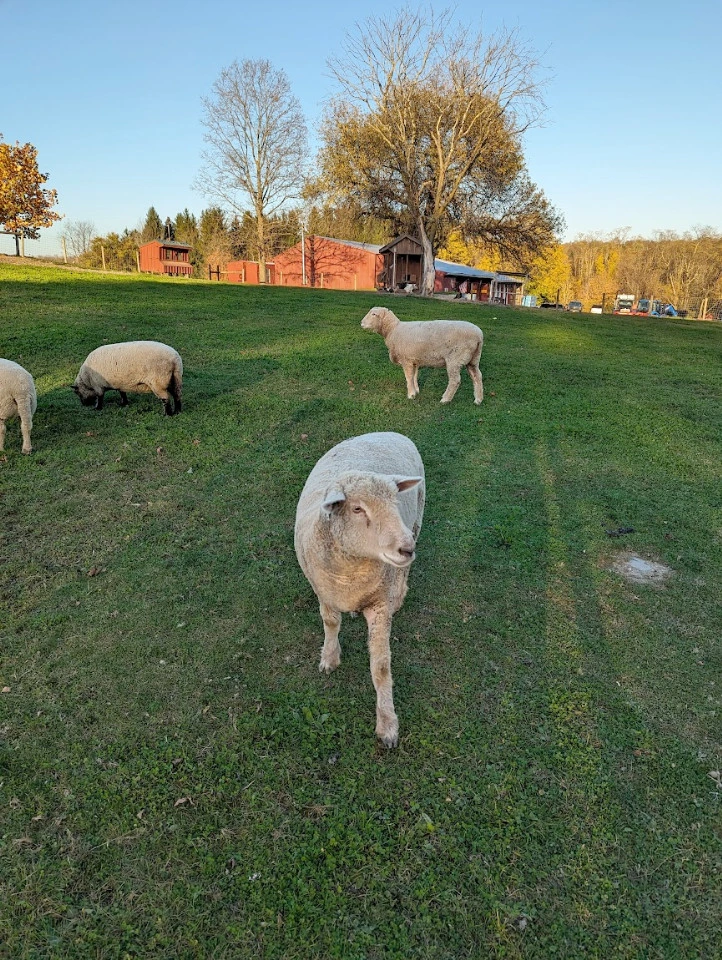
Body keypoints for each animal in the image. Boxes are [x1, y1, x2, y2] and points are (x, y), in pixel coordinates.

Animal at [296, 430, 424, 752]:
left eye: (394, 501)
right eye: (357, 509)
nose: (406, 549)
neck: (351, 571)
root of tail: (387, 431)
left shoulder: (379, 607)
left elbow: (380, 668)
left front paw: (387, 724)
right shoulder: (324, 592)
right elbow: (330, 623)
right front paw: (329, 658)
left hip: (417, 522)